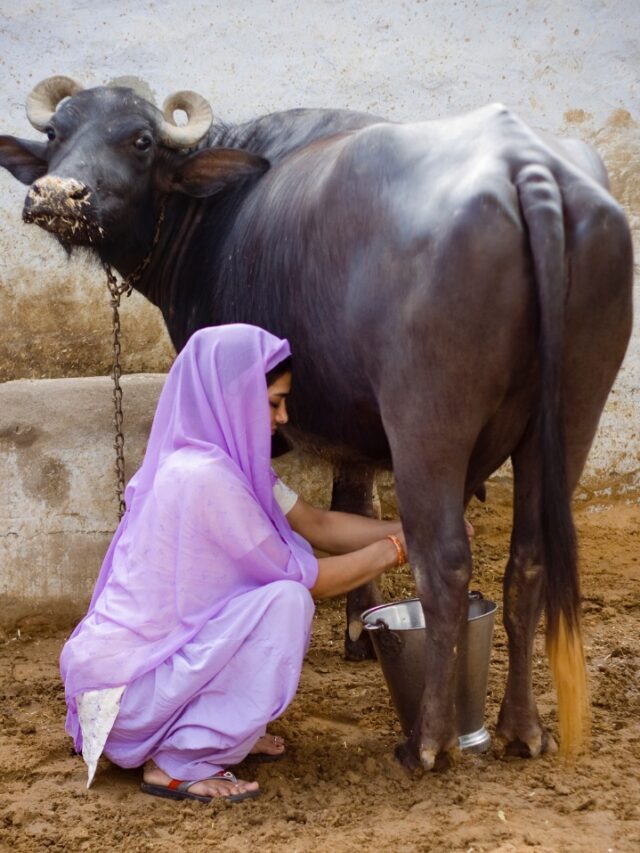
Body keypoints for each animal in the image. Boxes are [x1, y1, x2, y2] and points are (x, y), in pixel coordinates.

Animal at [0, 76, 632, 768]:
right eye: (56, 132)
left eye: (140, 140)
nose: (56, 193)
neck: (211, 215)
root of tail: (528, 168)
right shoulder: (355, 429)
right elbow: (357, 508)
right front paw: (362, 631)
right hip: (574, 412)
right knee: (529, 562)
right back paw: (522, 728)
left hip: (427, 419)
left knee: (444, 565)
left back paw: (428, 742)